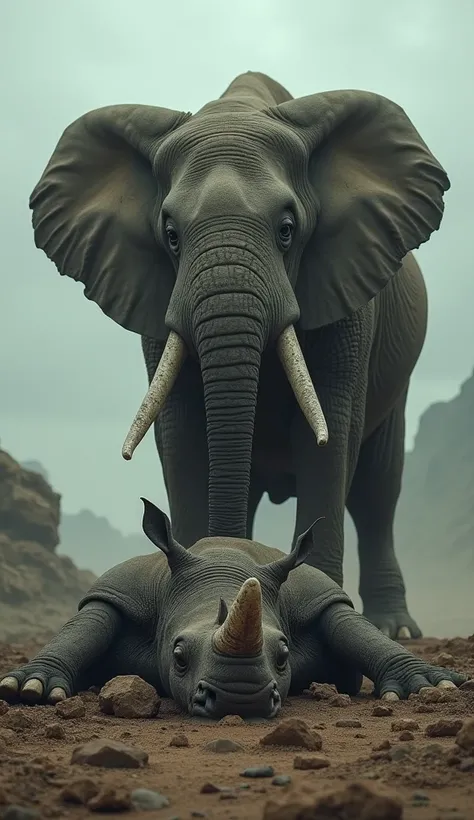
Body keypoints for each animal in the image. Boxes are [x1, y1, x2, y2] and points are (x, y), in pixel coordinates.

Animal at [0, 496, 466, 716]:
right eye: (178, 656)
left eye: (283, 655)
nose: (240, 701)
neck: (223, 559)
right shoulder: (117, 593)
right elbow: (84, 628)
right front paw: (28, 689)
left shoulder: (320, 597)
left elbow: (357, 630)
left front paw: (431, 687)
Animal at [28, 70, 448, 640]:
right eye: (171, 235)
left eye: (288, 230)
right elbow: (183, 437)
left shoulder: (348, 298)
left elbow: (329, 435)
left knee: (376, 491)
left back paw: (396, 631)